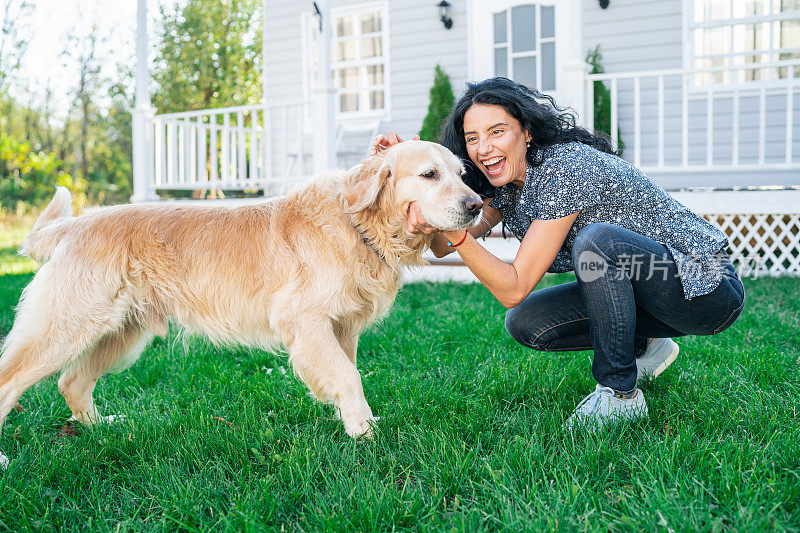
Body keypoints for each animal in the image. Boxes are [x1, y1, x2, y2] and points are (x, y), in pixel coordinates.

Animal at [0, 140, 482, 466]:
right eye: (429, 175)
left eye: (462, 173)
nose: (478, 205)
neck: (356, 223)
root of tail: (73, 226)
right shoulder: (306, 322)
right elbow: (348, 377)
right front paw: (365, 435)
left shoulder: (342, 329)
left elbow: (346, 374)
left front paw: (352, 425)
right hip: (65, 327)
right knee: (15, 381)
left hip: (120, 333)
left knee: (72, 382)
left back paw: (102, 428)